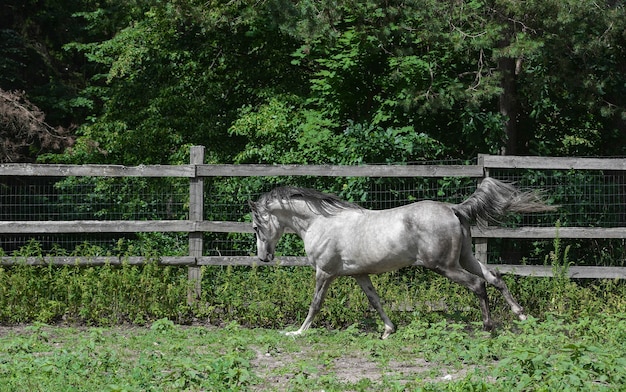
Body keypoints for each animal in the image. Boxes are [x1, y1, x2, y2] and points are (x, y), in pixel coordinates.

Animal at [246, 178, 552, 336]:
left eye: (255, 227)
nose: (264, 257)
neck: (319, 223)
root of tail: (453, 208)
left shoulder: (325, 272)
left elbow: (315, 304)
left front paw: (297, 332)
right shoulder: (360, 274)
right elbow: (375, 301)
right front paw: (388, 330)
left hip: (445, 266)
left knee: (478, 285)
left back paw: (489, 326)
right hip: (465, 258)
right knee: (495, 277)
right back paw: (522, 315)